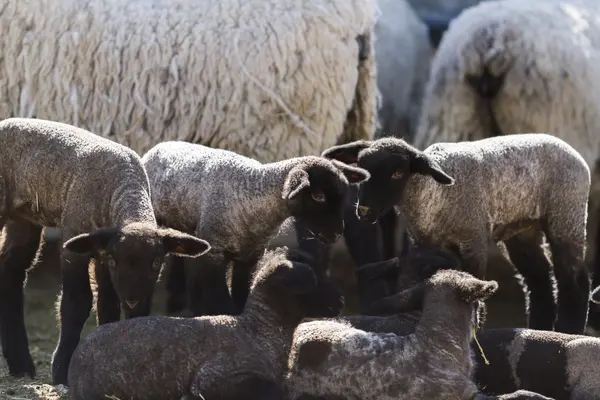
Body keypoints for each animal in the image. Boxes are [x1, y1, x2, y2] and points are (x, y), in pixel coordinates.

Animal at [0, 118, 211, 384]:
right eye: (114, 261)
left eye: (156, 263)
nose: (132, 299)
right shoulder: (77, 246)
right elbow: (77, 303)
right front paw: (62, 371)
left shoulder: (101, 253)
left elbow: (108, 306)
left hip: (24, 216)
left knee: (12, 269)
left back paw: (20, 364)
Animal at [141, 142, 370, 318]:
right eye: (318, 196)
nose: (337, 233)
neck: (254, 196)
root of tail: (159, 146)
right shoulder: (215, 251)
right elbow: (220, 299)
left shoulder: (250, 256)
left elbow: (242, 293)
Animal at [324, 134, 592, 334]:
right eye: (362, 170)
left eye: (397, 173)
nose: (364, 210)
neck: (433, 196)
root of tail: (572, 150)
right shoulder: (424, 244)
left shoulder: (474, 240)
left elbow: (474, 285)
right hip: (522, 229)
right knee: (539, 280)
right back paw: (539, 328)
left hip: (566, 214)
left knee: (574, 280)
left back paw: (569, 329)